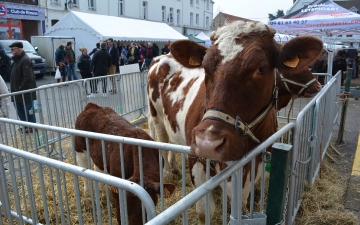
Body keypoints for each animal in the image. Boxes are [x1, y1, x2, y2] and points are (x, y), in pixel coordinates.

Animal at [146, 20, 324, 224]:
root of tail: (162, 56)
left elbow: (241, 206)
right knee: (162, 142)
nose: (208, 143)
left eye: (261, 68)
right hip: (157, 116)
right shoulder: (197, 161)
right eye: (205, 66)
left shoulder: (254, 164)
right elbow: (204, 212)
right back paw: (168, 170)